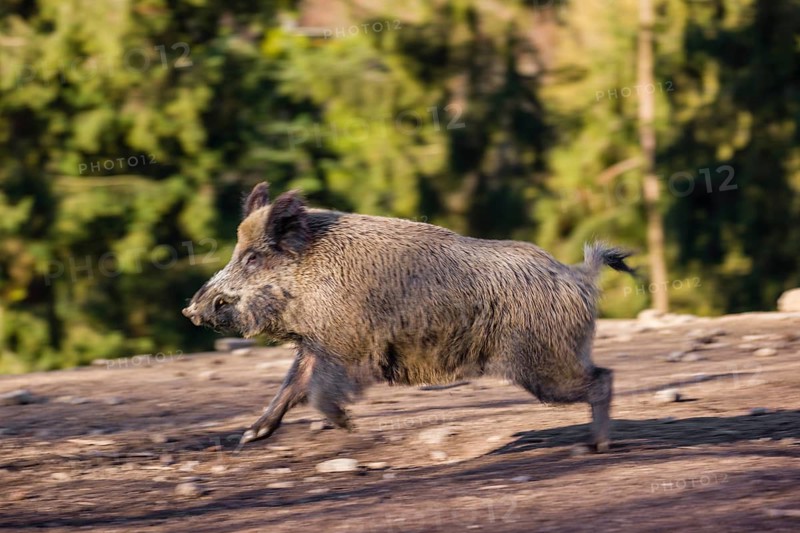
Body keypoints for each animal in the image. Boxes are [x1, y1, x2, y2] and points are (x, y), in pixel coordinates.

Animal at [183, 182, 636, 452]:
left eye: (253, 257)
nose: (191, 309)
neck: (311, 273)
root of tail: (578, 276)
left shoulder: (346, 348)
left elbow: (318, 392)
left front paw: (349, 428)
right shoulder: (315, 346)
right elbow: (290, 388)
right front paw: (249, 436)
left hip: (544, 365)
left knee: (603, 378)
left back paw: (596, 446)